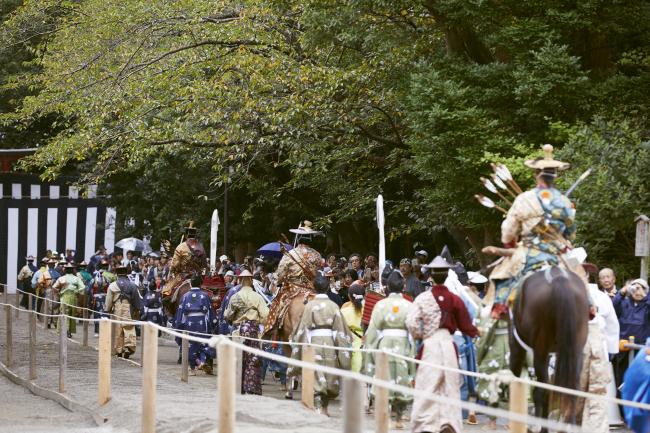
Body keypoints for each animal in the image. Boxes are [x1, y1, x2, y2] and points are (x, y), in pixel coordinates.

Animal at [508, 264, 588, 430]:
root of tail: (560, 280)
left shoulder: (517, 346)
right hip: (575, 350)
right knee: (572, 388)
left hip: (541, 349)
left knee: (541, 390)